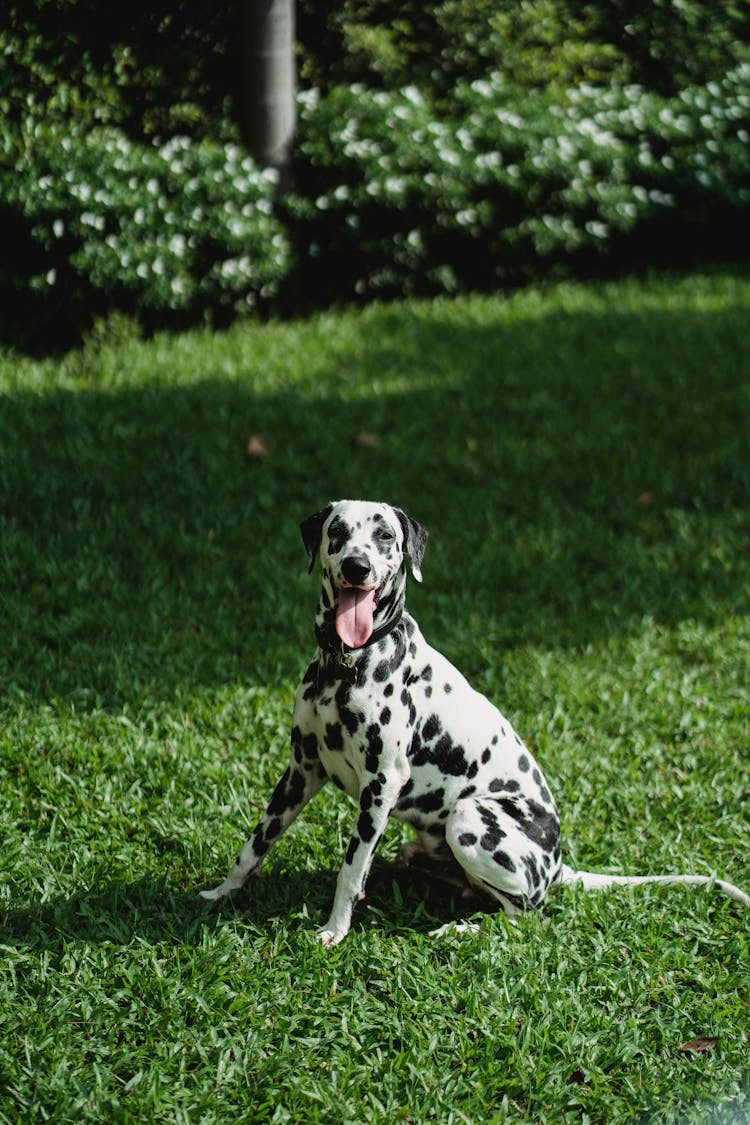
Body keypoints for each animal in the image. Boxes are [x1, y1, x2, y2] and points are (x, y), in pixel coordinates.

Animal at [199, 497, 750, 945]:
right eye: (338, 531)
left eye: (385, 536)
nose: (358, 566)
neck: (349, 663)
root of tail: (555, 866)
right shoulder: (300, 771)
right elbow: (255, 844)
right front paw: (221, 893)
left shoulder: (380, 787)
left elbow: (351, 869)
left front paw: (335, 929)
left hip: (469, 820)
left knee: (525, 916)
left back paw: (460, 929)